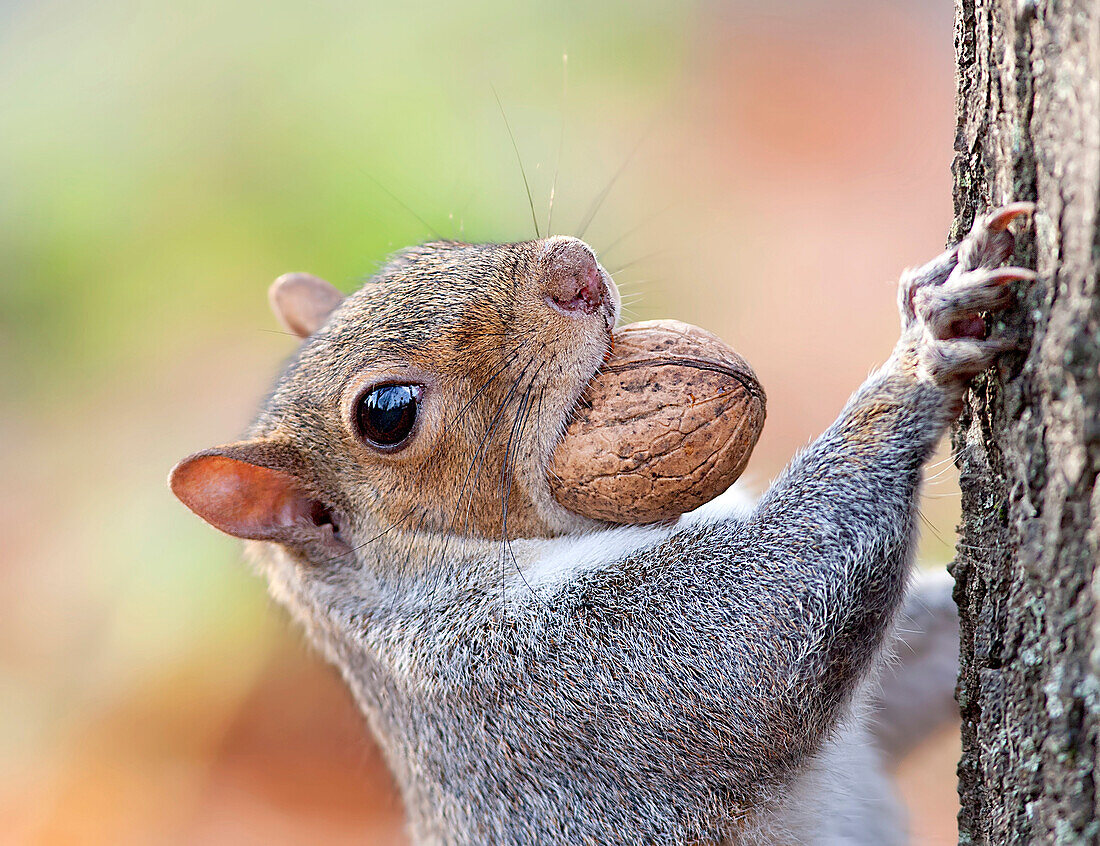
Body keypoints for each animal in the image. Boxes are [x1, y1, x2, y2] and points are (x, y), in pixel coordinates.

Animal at [173, 201, 1038, 840]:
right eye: (386, 413)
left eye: (423, 252)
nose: (572, 267)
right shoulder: (554, 679)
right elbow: (763, 632)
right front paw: (922, 351)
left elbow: (906, 681)